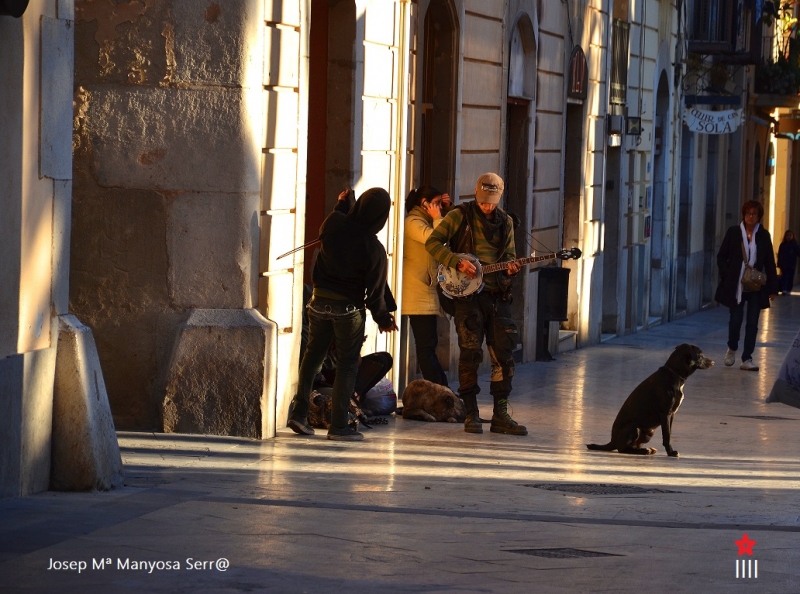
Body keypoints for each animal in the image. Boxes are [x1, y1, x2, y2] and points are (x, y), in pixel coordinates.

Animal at [584, 340, 716, 456]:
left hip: (648, 432)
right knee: (623, 449)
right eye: (700, 354)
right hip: (634, 427)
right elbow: (667, 435)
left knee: (634, 446)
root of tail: (612, 441)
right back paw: (643, 451)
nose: (713, 362)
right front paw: (671, 452)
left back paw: (646, 449)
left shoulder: (672, 414)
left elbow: (669, 433)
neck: (674, 374)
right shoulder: (665, 413)